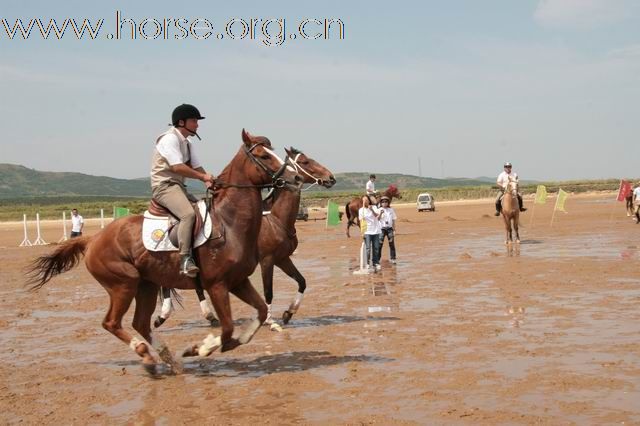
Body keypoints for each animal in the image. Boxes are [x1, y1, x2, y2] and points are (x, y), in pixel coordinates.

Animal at [26, 130, 302, 372]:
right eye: (264, 155)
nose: (296, 179)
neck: (229, 222)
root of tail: (93, 238)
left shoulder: (238, 281)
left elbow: (259, 314)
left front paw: (209, 346)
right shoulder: (217, 285)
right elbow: (226, 329)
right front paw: (201, 348)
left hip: (146, 286)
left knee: (140, 322)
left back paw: (169, 359)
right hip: (124, 284)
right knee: (112, 322)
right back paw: (146, 354)